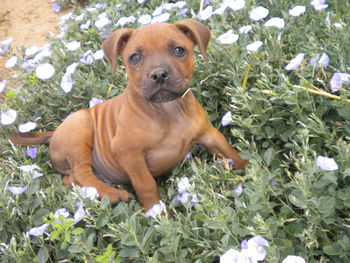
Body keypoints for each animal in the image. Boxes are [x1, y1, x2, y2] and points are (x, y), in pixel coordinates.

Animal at [10, 18, 249, 213]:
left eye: (179, 51)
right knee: (81, 173)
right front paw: (158, 214)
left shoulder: (209, 134)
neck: (167, 110)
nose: (159, 74)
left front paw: (249, 169)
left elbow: (230, 152)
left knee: (70, 179)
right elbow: (146, 184)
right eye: (134, 57)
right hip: (80, 127)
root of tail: (52, 135)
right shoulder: (129, 154)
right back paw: (113, 194)